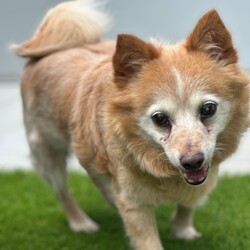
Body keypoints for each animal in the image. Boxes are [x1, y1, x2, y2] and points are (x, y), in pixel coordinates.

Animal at [12, 0, 249, 249]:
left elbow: (188, 202)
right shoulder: (133, 203)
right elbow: (148, 240)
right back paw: (80, 222)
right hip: (47, 152)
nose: (192, 161)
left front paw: (182, 230)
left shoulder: (203, 174)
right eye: (159, 119)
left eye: (208, 109)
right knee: (62, 191)